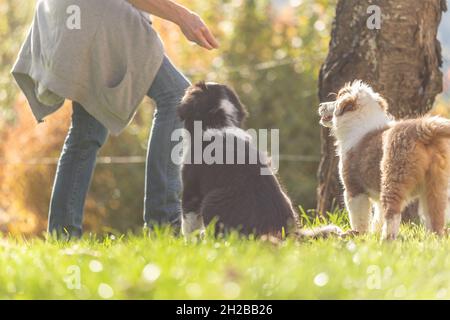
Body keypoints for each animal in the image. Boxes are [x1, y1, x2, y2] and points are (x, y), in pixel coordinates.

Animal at [178, 81, 342, 239]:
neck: (219, 122)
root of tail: (290, 235)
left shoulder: (191, 190)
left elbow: (188, 224)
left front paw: (190, 243)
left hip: (211, 201)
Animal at [318, 81, 450, 239]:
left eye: (337, 98)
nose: (320, 105)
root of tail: (421, 129)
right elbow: (377, 217)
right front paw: (372, 235)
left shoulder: (354, 189)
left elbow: (359, 218)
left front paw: (359, 235)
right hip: (436, 183)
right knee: (435, 216)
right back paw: (433, 239)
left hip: (394, 176)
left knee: (393, 214)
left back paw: (386, 240)